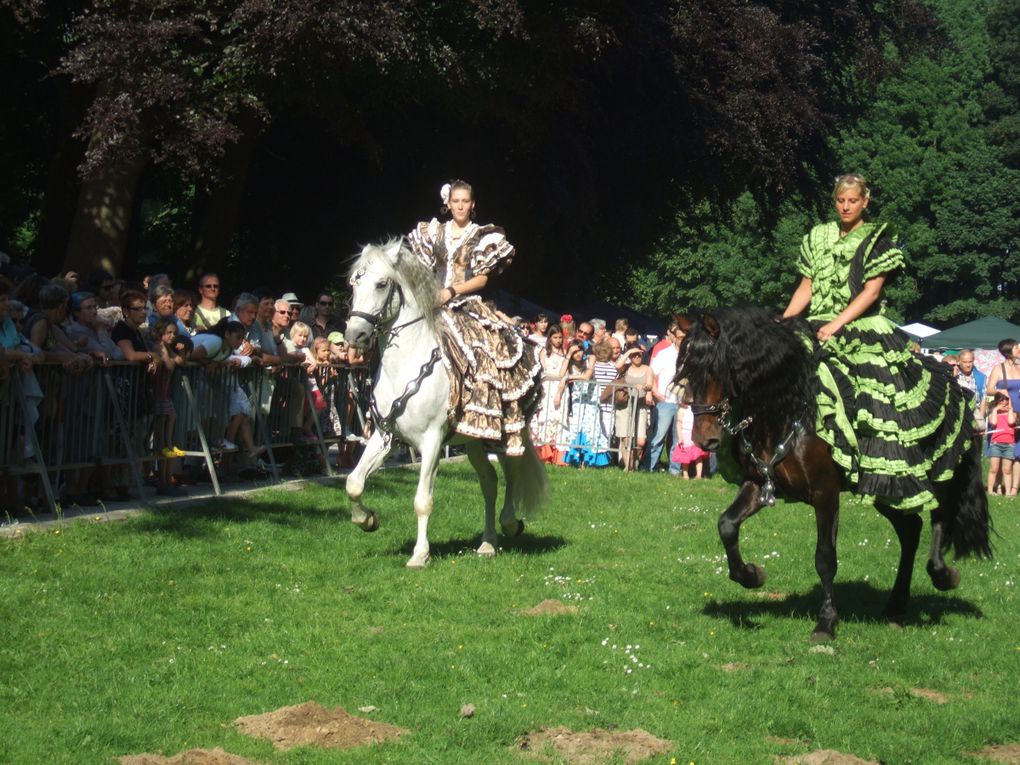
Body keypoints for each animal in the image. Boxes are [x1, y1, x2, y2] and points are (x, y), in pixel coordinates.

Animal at [344, 239, 550, 571]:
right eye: (354, 282)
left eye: (382, 284)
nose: (355, 335)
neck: (404, 365)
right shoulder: (384, 435)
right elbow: (354, 483)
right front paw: (367, 519)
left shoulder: (431, 441)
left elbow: (422, 500)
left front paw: (420, 555)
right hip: (475, 441)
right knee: (490, 482)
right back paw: (487, 544)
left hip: (508, 432)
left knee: (512, 471)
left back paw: (510, 524)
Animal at [673, 308, 991, 644]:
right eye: (685, 372)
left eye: (715, 369)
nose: (703, 439)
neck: (786, 409)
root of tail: (958, 387)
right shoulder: (760, 485)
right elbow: (727, 525)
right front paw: (751, 575)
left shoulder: (825, 494)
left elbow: (825, 558)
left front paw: (825, 622)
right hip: (887, 486)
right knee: (910, 529)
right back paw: (896, 604)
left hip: (935, 476)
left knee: (940, 516)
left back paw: (943, 575)